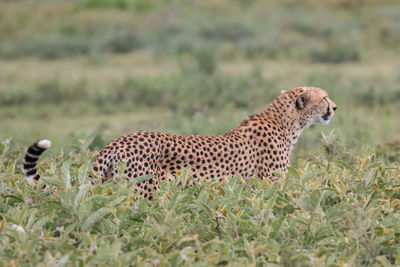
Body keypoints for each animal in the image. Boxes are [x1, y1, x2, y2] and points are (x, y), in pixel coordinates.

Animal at [23, 87, 338, 200]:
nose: (334, 107)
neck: (286, 121)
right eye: (323, 97)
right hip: (143, 190)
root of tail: (119, 140)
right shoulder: (270, 182)